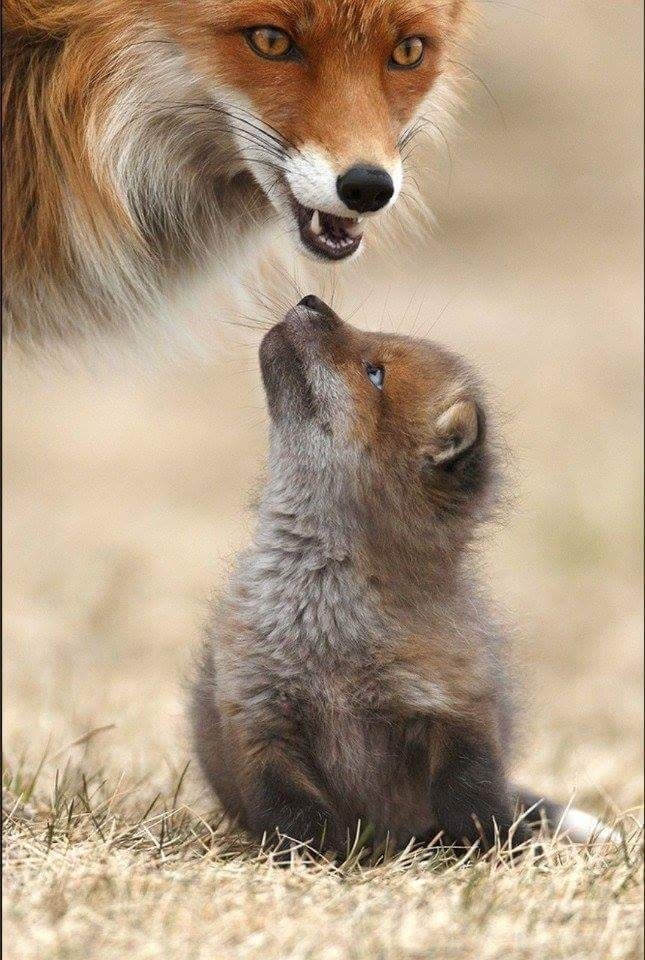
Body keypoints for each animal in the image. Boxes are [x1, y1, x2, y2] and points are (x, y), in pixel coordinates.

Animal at [191, 294, 620, 856]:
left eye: (374, 373)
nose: (310, 300)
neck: (327, 622)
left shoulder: (459, 706)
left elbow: (474, 796)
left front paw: (504, 850)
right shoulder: (258, 717)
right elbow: (293, 815)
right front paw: (320, 857)